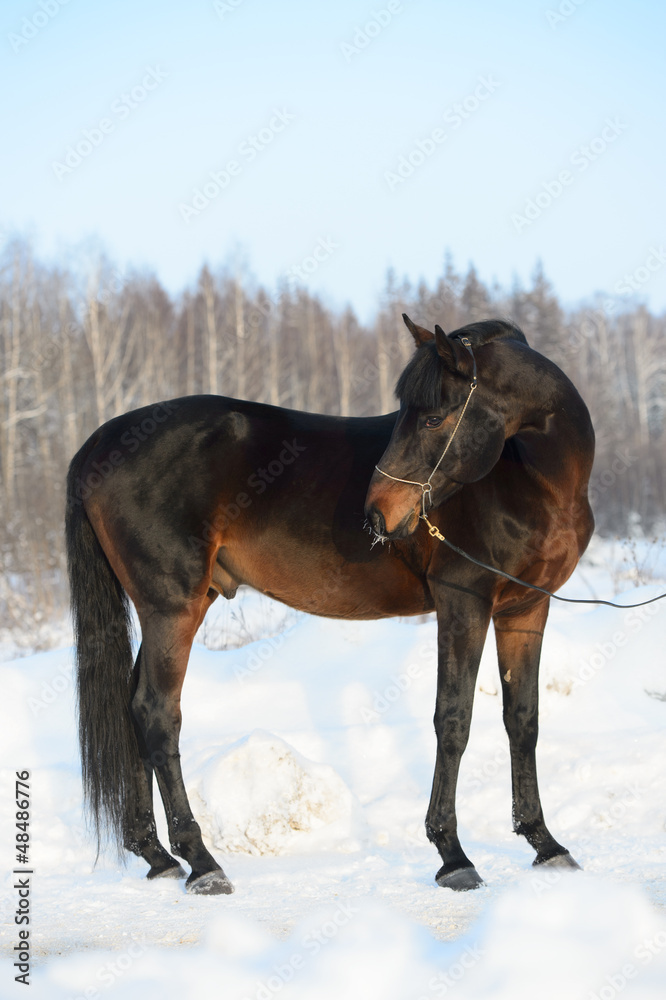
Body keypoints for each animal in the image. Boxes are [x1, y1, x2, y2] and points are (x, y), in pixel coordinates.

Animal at [63, 316, 592, 896]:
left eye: (433, 417)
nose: (377, 512)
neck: (531, 480)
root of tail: (101, 440)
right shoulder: (463, 603)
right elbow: (453, 720)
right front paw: (453, 855)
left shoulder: (526, 609)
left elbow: (523, 720)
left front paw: (546, 843)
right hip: (170, 608)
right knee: (155, 712)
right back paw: (201, 862)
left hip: (183, 605)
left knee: (131, 705)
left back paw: (157, 856)